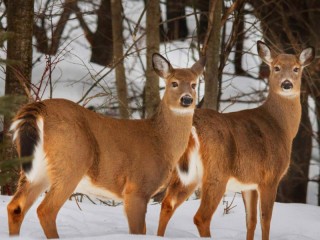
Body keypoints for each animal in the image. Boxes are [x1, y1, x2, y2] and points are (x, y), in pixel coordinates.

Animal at [7, 53, 206, 238]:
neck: (162, 142)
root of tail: (40, 108)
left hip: (37, 168)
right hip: (72, 160)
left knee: (15, 206)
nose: (187, 99)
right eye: (174, 83)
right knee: (45, 210)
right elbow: (137, 231)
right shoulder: (137, 188)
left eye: (194, 84)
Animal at [156, 41, 314, 240]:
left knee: (167, 205)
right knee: (201, 217)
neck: (281, 127)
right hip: (217, 171)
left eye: (296, 68)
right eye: (276, 67)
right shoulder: (270, 176)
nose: (287, 84)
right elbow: (266, 219)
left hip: (187, 175)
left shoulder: (249, 183)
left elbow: (251, 221)